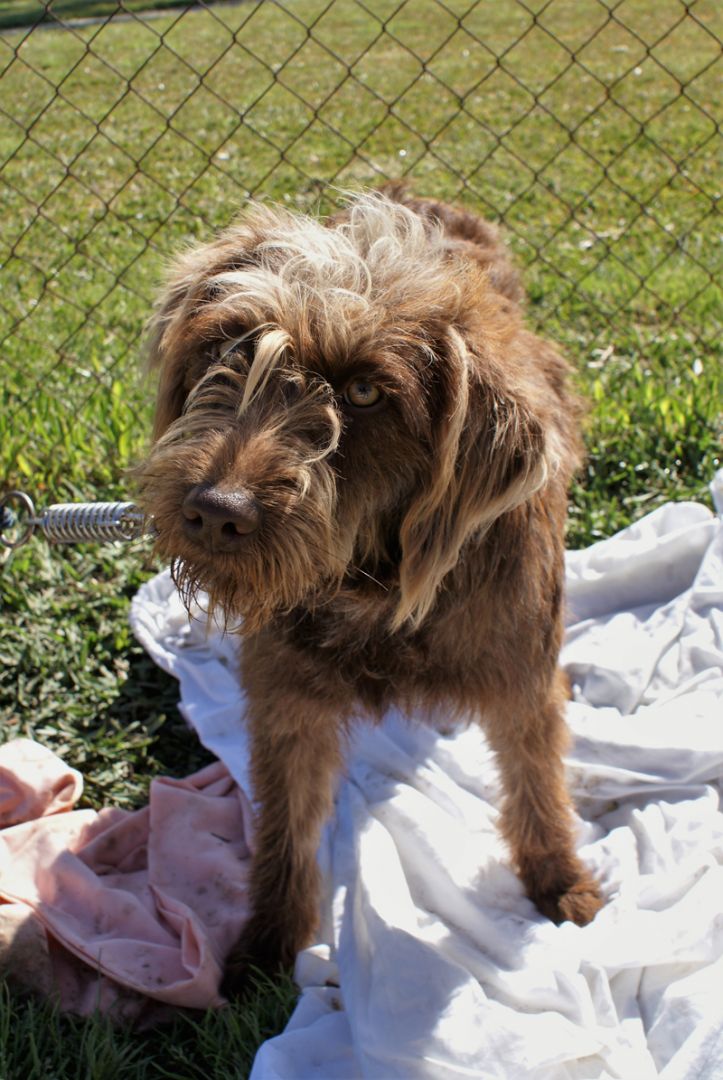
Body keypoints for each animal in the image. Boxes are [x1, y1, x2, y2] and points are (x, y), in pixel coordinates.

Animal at [135, 183, 605, 989]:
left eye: (362, 392)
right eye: (227, 349)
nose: (214, 511)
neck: (370, 594)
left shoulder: (517, 677)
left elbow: (537, 776)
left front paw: (558, 878)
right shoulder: (287, 704)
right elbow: (286, 828)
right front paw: (269, 941)